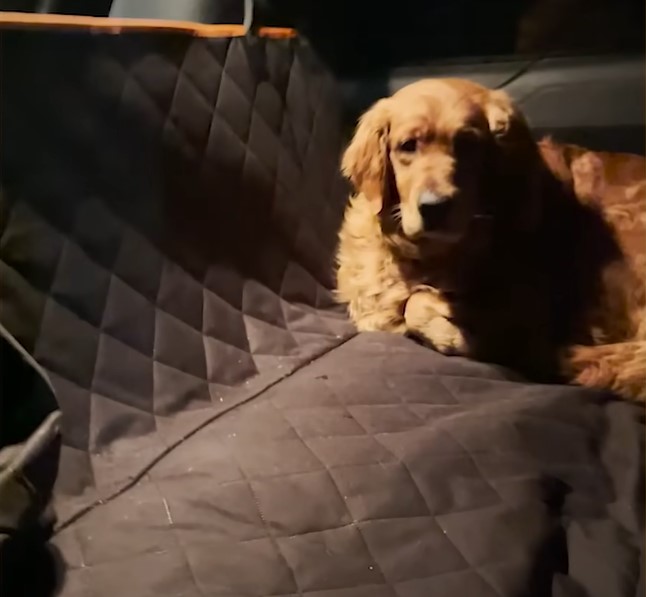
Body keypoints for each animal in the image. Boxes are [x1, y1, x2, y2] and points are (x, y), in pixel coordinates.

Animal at [334, 77, 646, 398]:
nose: (434, 207)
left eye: (468, 145)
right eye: (408, 146)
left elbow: (418, 304)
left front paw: (451, 328)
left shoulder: (528, 305)